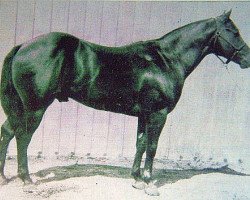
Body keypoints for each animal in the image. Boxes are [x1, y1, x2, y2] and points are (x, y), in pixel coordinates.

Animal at [0, 10, 250, 195]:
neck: (165, 60)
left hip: (20, 108)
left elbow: (140, 143)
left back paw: (3, 177)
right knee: (23, 137)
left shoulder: (144, 114)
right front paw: (149, 183)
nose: (247, 58)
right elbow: (152, 147)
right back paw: (27, 180)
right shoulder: (158, 114)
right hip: (35, 108)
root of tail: (23, 46)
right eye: (233, 31)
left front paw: (136, 179)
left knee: (7, 132)